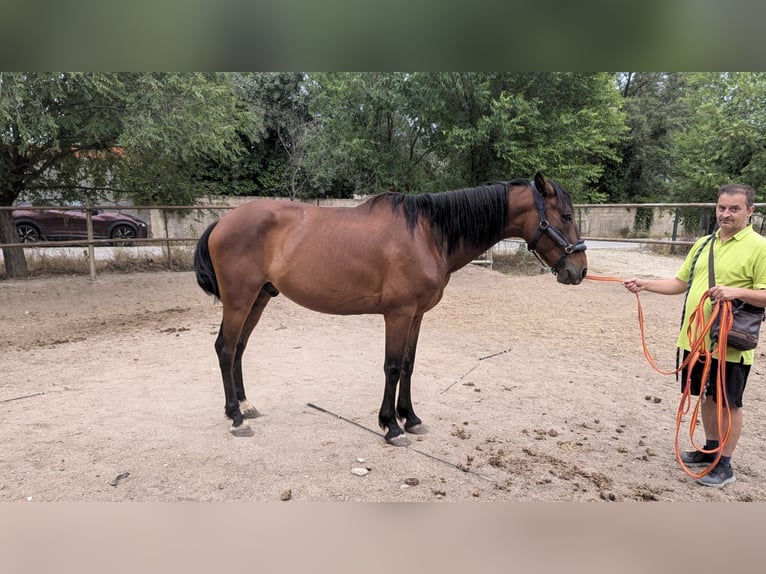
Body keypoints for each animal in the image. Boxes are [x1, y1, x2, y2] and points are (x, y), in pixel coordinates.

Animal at [196, 171, 588, 446]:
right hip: (239, 299)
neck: (429, 233)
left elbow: (410, 365)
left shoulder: (416, 314)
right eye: (566, 216)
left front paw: (410, 419)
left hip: (259, 298)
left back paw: (245, 405)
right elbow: (393, 366)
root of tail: (223, 221)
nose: (579, 270)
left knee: (239, 348)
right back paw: (236, 418)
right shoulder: (398, 313)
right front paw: (390, 425)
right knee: (225, 348)